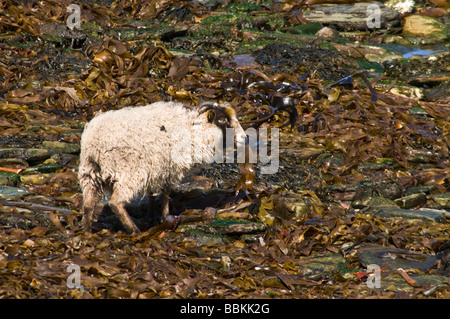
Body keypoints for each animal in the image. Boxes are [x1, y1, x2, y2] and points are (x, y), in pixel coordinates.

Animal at [77, 102, 246, 235]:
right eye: (222, 120)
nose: (244, 137)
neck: (196, 130)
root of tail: (94, 143)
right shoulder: (170, 170)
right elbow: (165, 195)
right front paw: (165, 217)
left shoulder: (157, 170)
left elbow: (152, 195)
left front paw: (152, 217)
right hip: (129, 173)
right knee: (115, 203)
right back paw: (134, 231)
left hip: (90, 173)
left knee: (88, 205)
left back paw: (87, 232)